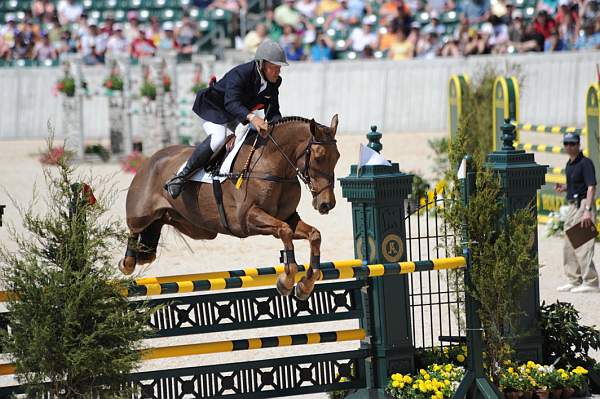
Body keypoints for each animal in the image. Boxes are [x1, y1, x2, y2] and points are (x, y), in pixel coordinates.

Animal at [119, 115, 340, 300]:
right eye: (319, 156)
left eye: (337, 156)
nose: (326, 204)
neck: (273, 165)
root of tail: (150, 158)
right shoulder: (246, 219)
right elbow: (284, 232)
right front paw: (286, 281)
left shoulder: (288, 217)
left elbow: (314, 235)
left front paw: (305, 285)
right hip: (142, 214)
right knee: (135, 228)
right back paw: (128, 262)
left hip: (193, 227)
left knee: (157, 231)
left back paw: (142, 254)